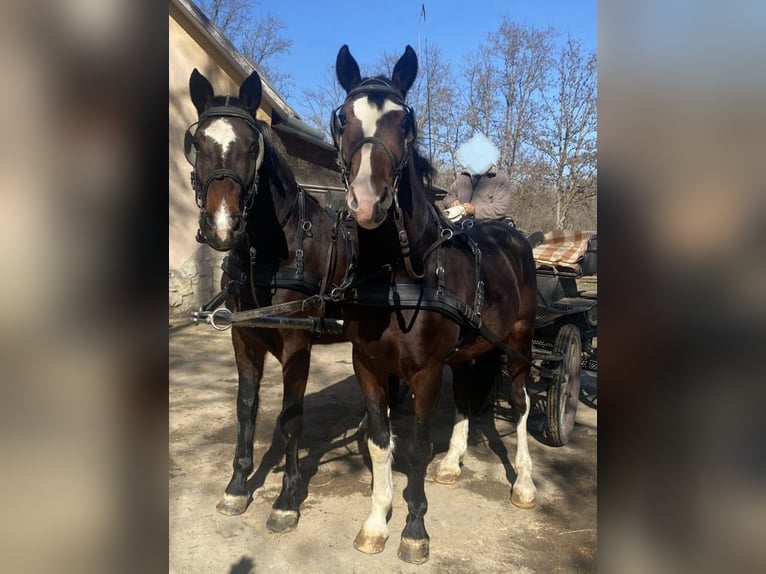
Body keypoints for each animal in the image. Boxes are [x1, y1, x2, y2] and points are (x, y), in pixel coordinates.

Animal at [184, 68, 356, 532]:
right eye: (198, 144)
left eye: (250, 145)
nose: (222, 227)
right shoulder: (243, 337)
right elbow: (246, 409)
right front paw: (236, 486)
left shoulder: (297, 342)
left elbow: (291, 417)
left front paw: (286, 499)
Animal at [330, 45, 538, 564]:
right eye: (342, 118)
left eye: (404, 122)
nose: (368, 202)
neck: (400, 274)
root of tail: (513, 237)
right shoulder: (367, 364)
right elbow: (381, 443)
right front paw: (375, 523)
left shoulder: (424, 371)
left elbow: (417, 446)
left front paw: (414, 529)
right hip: (470, 350)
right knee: (466, 395)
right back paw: (453, 462)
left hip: (519, 341)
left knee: (521, 404)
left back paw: (524, 484)